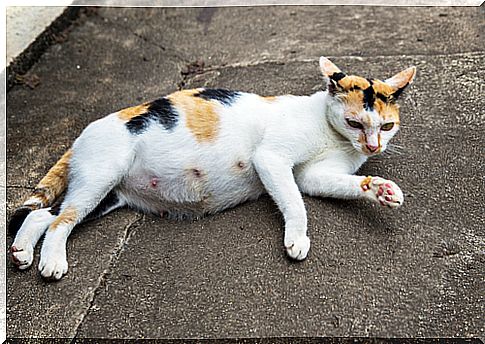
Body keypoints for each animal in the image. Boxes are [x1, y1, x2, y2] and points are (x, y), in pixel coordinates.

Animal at [8, 56, 416, 280]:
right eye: (354, 122)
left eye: (386, 126)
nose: (373, 146)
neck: (332, 135)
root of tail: (82, 133)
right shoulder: (271, 159)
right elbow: (295, 203)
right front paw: (297, 239)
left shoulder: (311, 176)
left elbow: (336, 183)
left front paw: (380, 189)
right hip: (100, 177)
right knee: (59, 221)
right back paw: (52, 262)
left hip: (105, 195)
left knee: (44, 214)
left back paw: (22, 252)